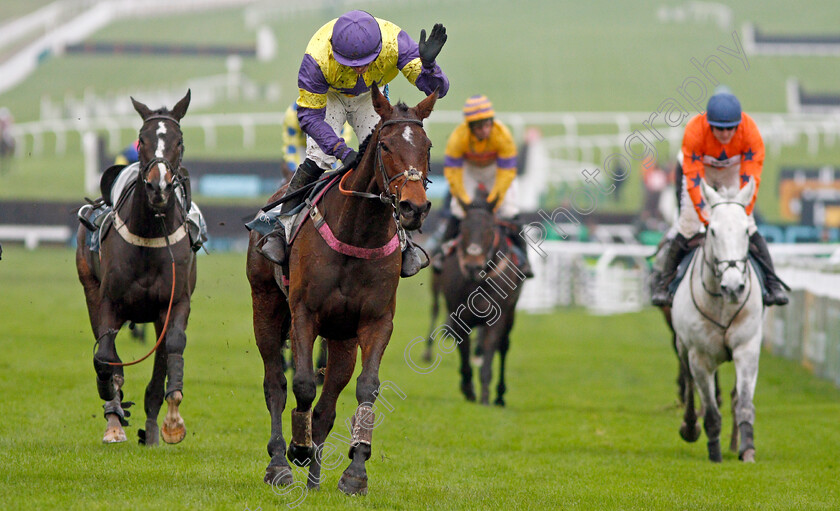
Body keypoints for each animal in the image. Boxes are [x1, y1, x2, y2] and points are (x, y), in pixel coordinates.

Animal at [74, 90, 194, 446]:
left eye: (179, 141)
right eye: (142, 139)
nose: (159, 188)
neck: (151, 233)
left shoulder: (175, 301)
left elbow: (172, 349)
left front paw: (171, 422)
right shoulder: (109, 301)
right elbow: (104, 356)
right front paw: (113, 413)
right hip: (89, 288)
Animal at [246, 85, 436, 496]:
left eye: (427, 145)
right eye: (385, 145)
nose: (414, 208)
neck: (357, 232)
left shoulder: (375, 322)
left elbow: (367, 388)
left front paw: (355, 472)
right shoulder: (304, 314)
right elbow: (302, 384)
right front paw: (298, 449)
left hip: (341, 337)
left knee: (327, 406)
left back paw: (315, 479)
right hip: (265, 304)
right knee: (275, 383)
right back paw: (280, 462)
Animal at [426, 190, 524, 406]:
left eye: (490, 228)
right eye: (463, 228)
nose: (472, 265)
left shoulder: (498, 316)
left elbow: (490, 349)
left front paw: (485, 395)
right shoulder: (458, 315)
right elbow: (463, 351)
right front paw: (468, 388)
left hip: (511, 313)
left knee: (504, 346)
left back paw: (500, 395)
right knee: (435, 309)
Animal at [672, 179, 764, 464]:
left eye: (746, 231)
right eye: (712, 231)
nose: (734, 287)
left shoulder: (747, 348)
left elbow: (744, 402)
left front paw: (747, 449)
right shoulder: (699, 356)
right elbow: (711, 411)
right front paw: (714, 452)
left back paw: (734, 442)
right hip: (683, 347)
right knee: (690, 384)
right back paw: (690, 426)